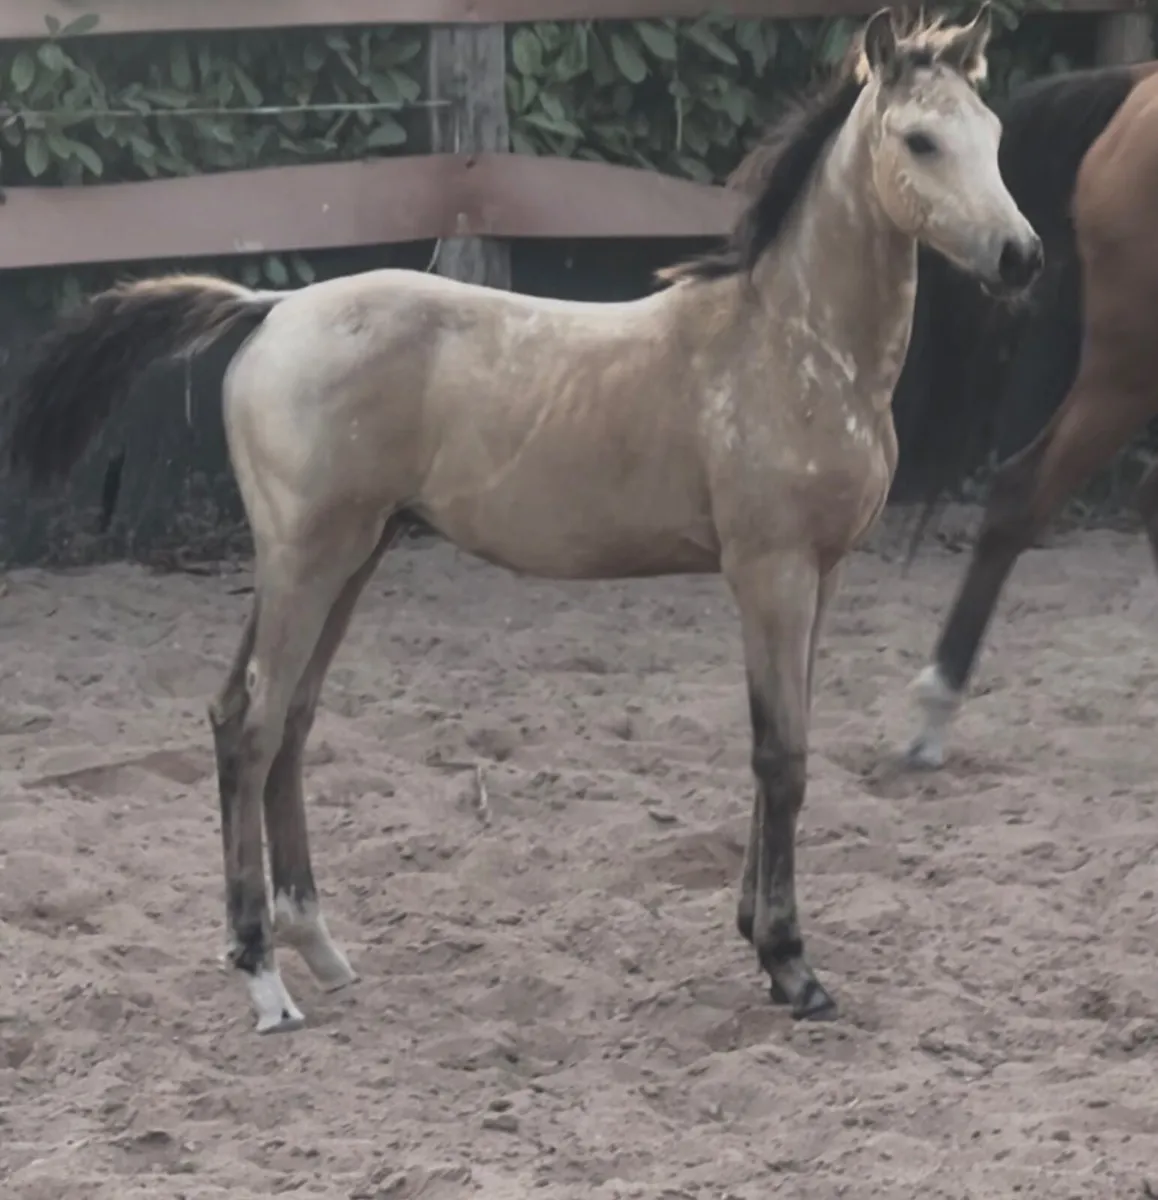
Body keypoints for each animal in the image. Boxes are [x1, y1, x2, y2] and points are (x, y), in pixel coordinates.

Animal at [0, 6, 1040, 1034]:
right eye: (921, 139)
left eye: (993, 134)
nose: (1021, 257)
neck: (791, 343)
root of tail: (274, 305)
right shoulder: (770, 571)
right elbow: (780, 756)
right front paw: (791, 967)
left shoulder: (822, 572)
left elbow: (785, 749)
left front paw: (760, 936)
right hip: (309, 556)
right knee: (255, 727)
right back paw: (264, 976)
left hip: (347, 555)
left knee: (272, 717)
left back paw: (321, 949)